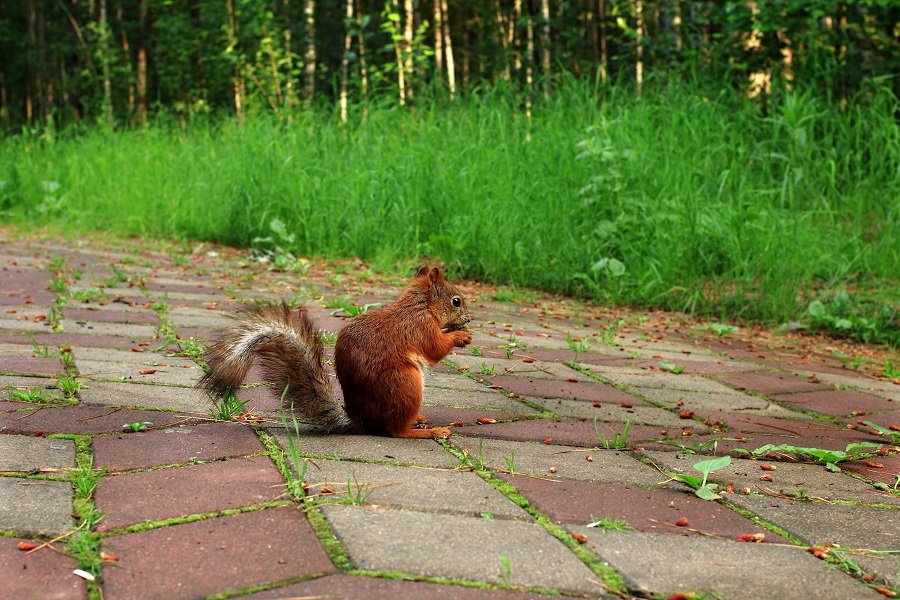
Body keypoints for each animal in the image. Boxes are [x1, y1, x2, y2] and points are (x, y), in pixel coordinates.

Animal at [201, 264, 474, 438]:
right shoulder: (420, 328)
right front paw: (460, 336)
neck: (419, 306)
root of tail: (363, 421)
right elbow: (435, 348)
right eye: (456, 301)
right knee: (396, 431)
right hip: (406, 384)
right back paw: (430, 431)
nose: (469, 319)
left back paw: (418, 420)